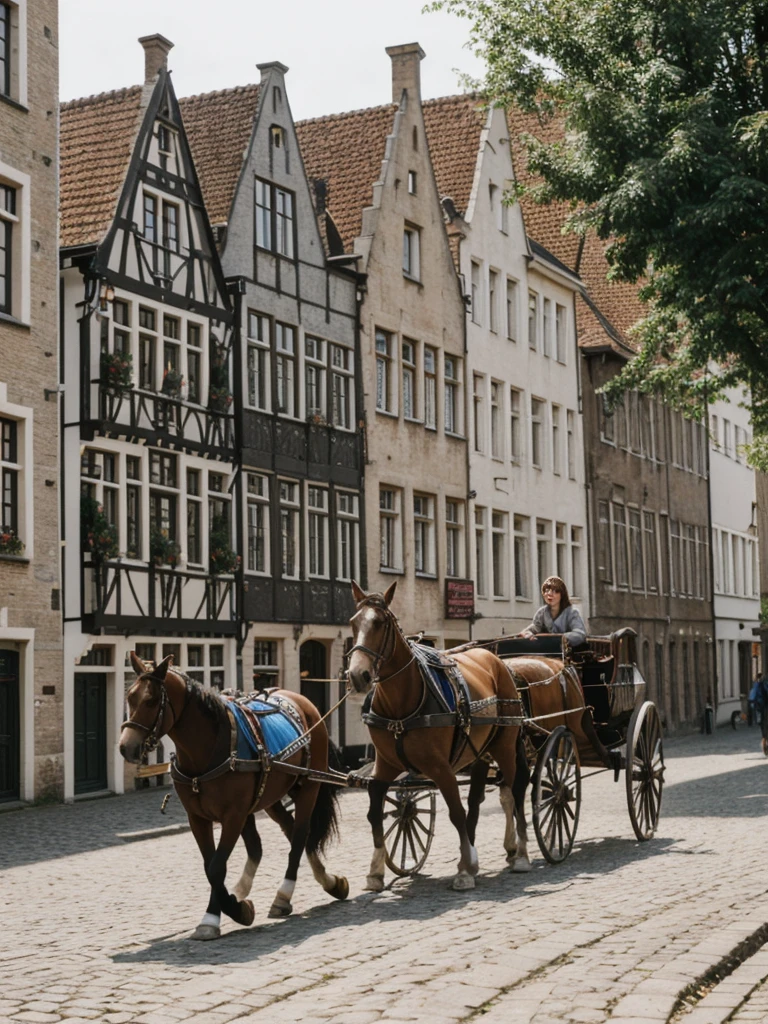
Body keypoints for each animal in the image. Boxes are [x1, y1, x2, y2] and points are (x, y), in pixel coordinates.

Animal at [119, 651, 348, 937]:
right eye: (130, 697)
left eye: (150, 700)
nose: (126, 747)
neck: (208, 749)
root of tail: (305, 702)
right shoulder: (198, 818)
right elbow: (210, 866)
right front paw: (234, 905)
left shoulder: (233, 816)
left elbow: (217, 867)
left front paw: (217, 916)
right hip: (270, 797)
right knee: (282, 836)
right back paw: (327, 882)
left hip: (308, 788)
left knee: (298, 838)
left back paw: (284, 894)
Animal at [350, 585, 536, 888]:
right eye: (354, 623)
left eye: (379, 622)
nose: (358, 675)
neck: (402, 705)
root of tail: (497, 661)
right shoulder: (385, 765)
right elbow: (375, 810)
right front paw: (376, 870)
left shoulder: (441, 767)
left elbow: (456, 812)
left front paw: (466, 869)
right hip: (481, 750)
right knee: (491, 796)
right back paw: (506, 849)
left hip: (506, 747)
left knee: (516, 790)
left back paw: (520, 854)